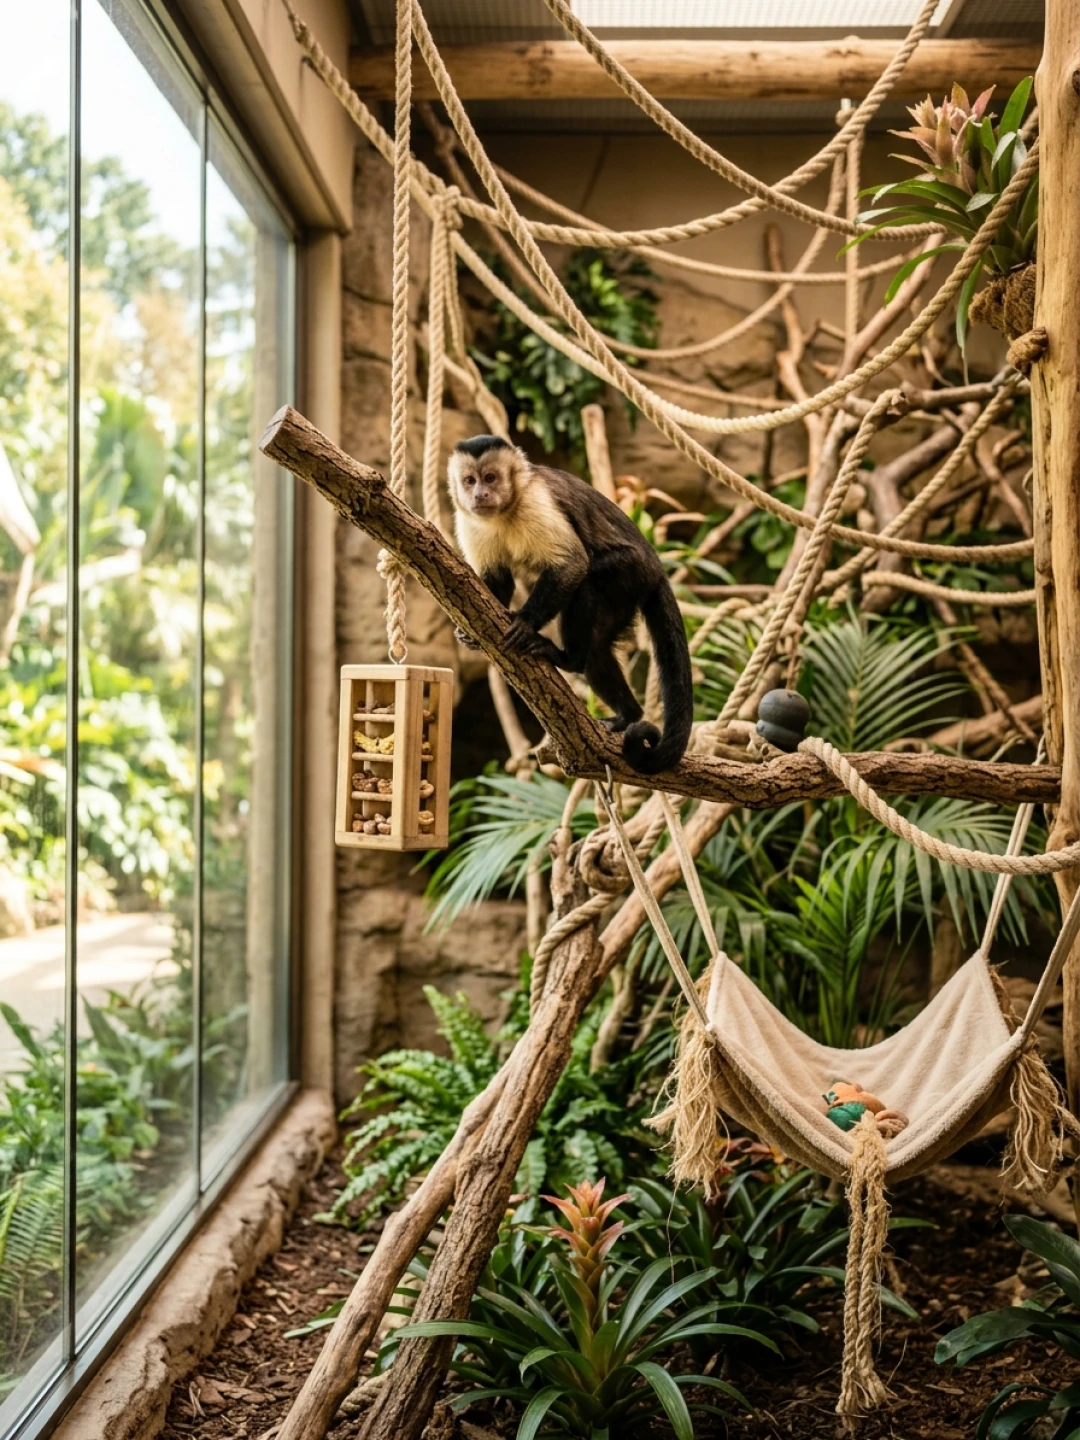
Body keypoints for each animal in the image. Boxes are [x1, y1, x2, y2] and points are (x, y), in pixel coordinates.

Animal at [447, 435, 693, 775]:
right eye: (470, 480)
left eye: (491, 478)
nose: (480, 494)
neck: (506, 511)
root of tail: (657, 569)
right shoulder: (470, 520)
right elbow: (495, 582)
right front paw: (468, 634)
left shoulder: (535, 502)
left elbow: (572, 565)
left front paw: (525, 623)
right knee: (598, 650)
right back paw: (627, 714)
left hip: (630, 572)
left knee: (587, 581)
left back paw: (567, 659)